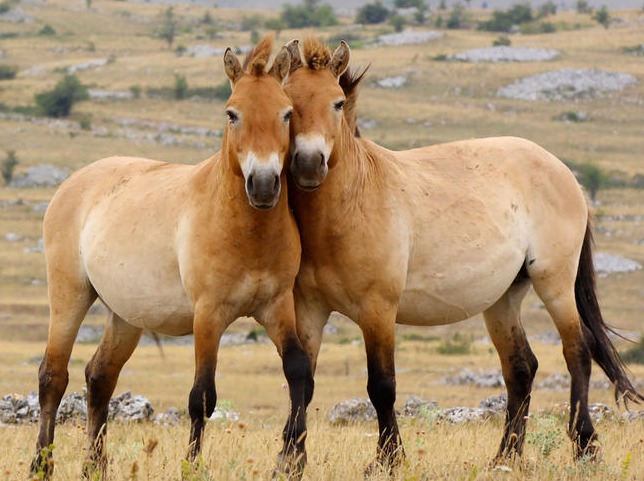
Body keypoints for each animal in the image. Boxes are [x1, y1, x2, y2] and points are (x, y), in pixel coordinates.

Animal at [34, 36, 314, 476]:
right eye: (232, 114)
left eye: (287, 113)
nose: (264, 185)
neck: (244, 232)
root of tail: (74, 182)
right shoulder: (208, 316)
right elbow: (202, 397)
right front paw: (192, 466)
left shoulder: (275, 306)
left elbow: (298, 371)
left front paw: (294, 462)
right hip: (69, 297)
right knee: (53, 376)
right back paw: (41, 465)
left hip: (125, 316)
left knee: (99, 377)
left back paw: (95, 467)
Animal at [284, 37, 640, 472]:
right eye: (288, 103)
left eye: (337, 103)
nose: (308, 164)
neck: (353, 203)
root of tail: (563, 171)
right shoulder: (310, 310)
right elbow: (302, 381)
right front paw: (290, 459)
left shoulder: (378, 311)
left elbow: (381, 385)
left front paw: (389, 460)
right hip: (504, 298)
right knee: (521, 368)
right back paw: (506, 455)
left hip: (554, 283)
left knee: (578, 352)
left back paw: (585, 447)